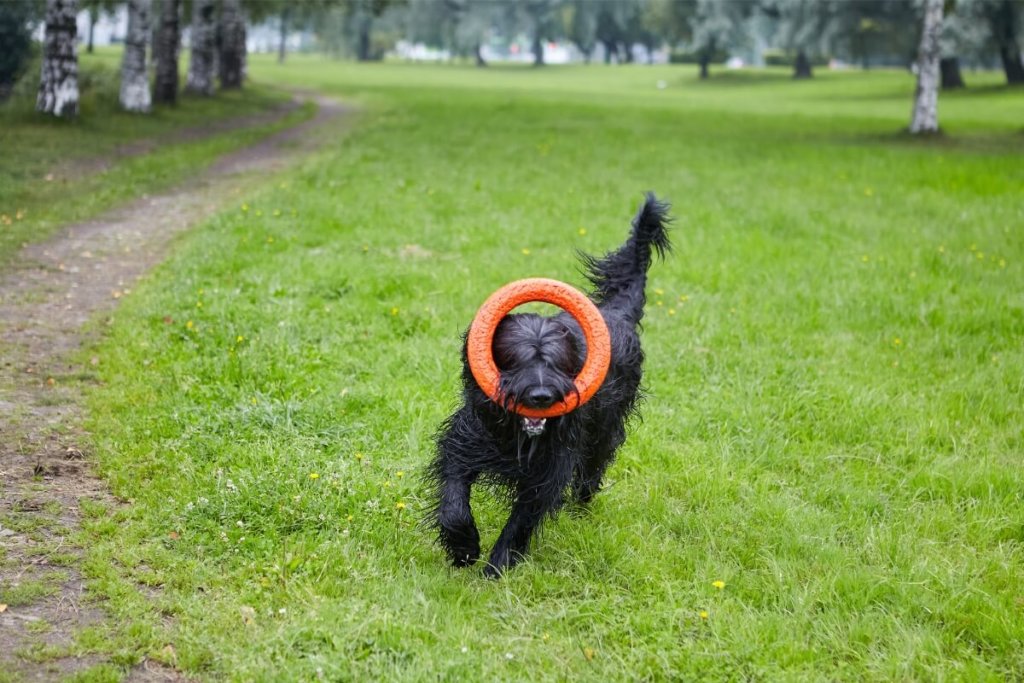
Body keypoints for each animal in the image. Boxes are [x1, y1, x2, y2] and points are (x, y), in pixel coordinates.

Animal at [425, 192, 671, 577]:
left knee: (591, 471)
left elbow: (522, 519)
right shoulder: (464, 442)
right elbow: (453, 496)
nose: (541, 396)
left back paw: (580, 508)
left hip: (604, 432)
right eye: (516, 359)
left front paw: (497, 567)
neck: (516, 436)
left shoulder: (549, 470)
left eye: (557, 362)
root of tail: (616, 312)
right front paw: (464, 547)